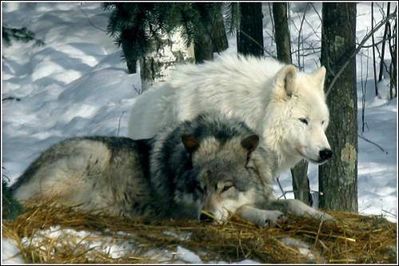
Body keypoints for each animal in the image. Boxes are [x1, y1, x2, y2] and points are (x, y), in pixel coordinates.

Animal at [10, 113, 332, 225]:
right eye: (199, 188)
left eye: (226, 187)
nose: (204, 218)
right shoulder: (183, 210)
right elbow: (241, 209)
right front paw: (267, 217)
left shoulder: (260, 193)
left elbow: (292, 202)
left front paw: (320, 216)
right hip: (92, 155)